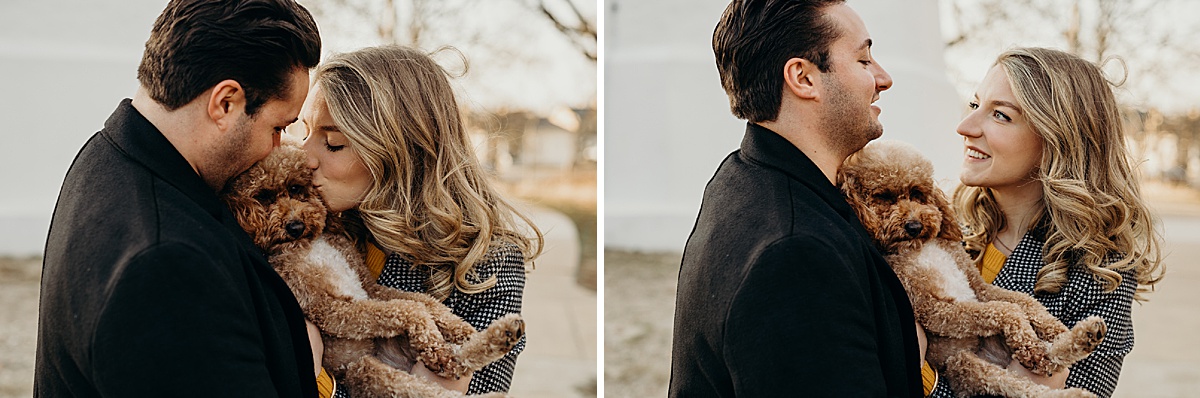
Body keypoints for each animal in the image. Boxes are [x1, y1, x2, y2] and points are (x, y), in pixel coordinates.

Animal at [835, 140, 1104, 398]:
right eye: (883, 197)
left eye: (917, 193)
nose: (914, 226)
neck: (920, 248)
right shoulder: (932, 309)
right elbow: (1006, 310)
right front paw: (1030, 332)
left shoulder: (976, 284)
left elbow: (1023, 301)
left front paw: (1055, 327)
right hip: (964, 366)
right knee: (1023, 381)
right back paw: (1068, 380)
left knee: (1048, 359)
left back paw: (1084, 336)